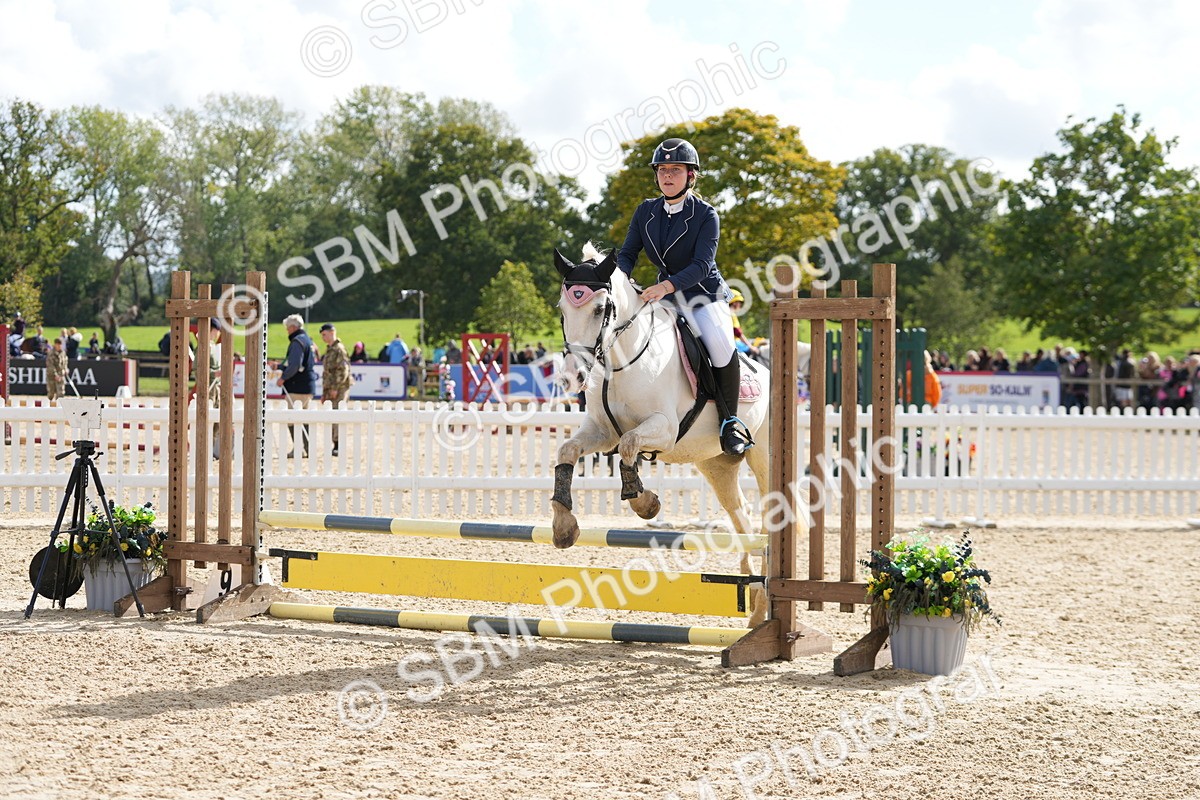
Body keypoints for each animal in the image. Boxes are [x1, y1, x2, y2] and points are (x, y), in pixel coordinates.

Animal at [550, 243, 772, 624]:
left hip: (766, 457)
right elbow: (567, 451)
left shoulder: (664, 429)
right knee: (741, 514)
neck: (621, 361)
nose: (571, 378)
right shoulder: (600, 431)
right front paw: (564, 525)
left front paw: (645, 502)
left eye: (600, 309)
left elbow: (629, 445)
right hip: (715, 464)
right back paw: (753, 592)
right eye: (563, 310)